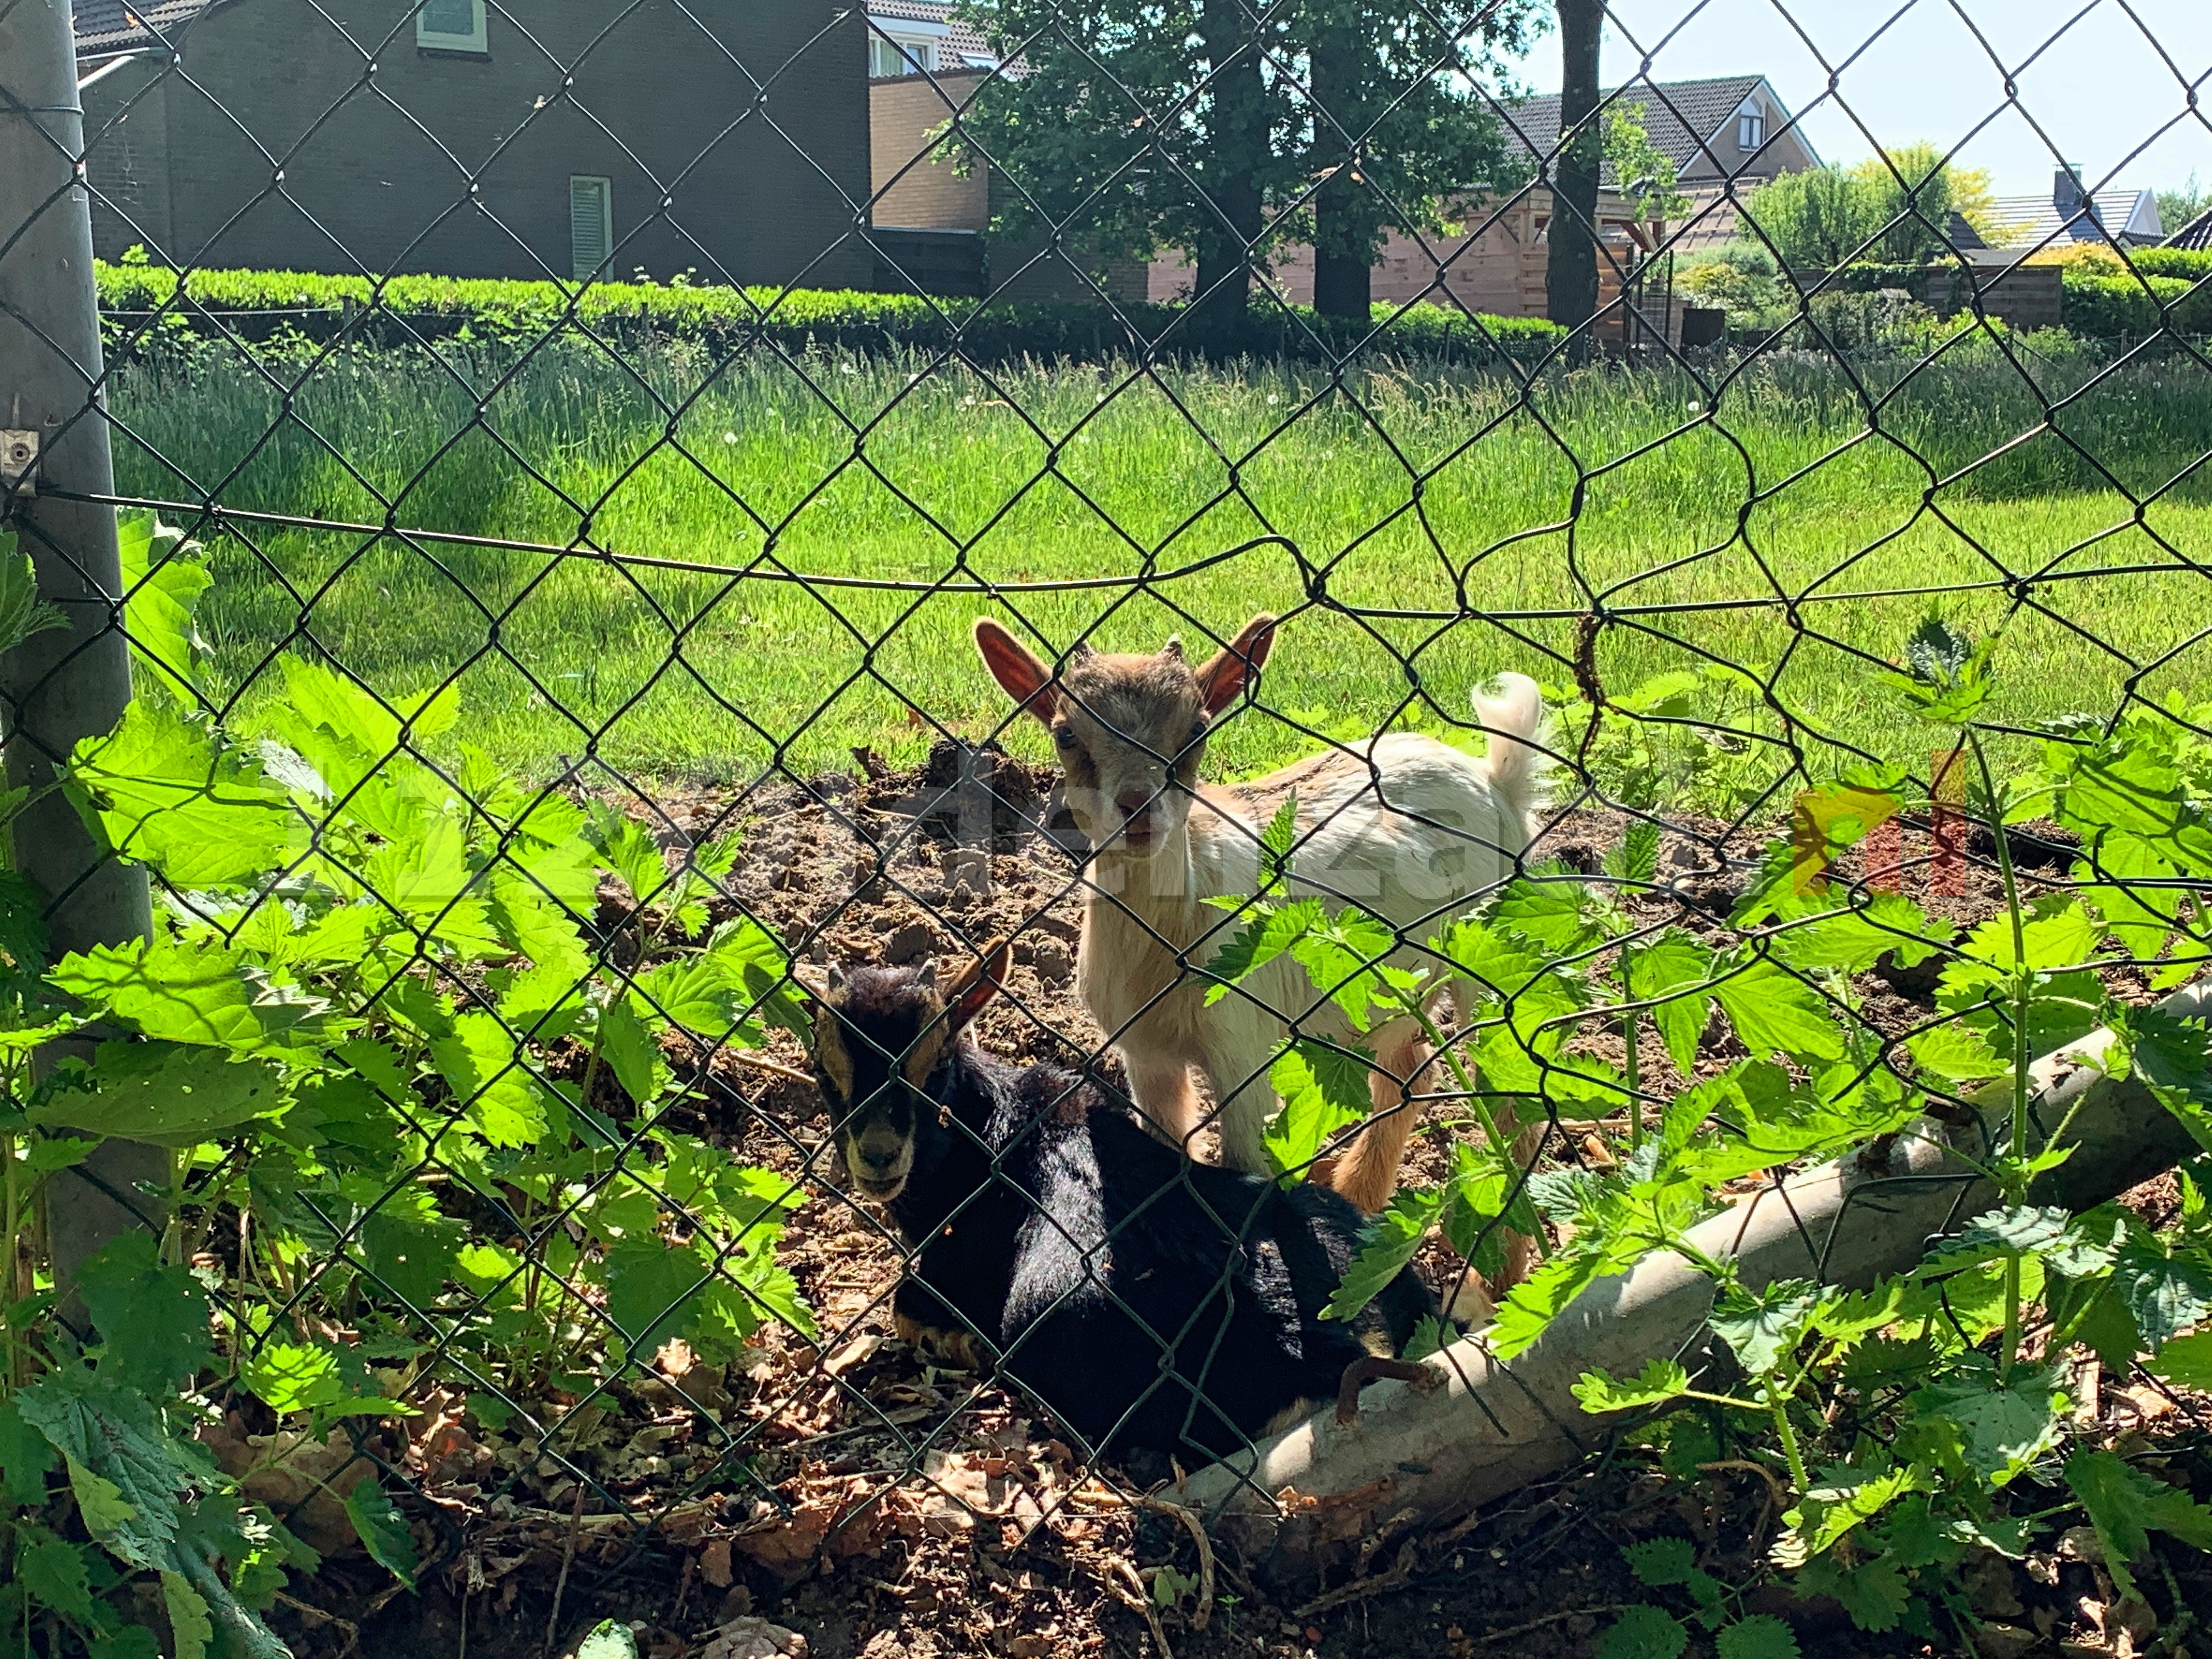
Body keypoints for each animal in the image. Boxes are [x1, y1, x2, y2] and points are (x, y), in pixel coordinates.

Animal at [978, 619, 1548, 1256]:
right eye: (1066, 735)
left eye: (1197, 730)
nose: (1138, 808)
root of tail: (1493, 778)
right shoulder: (1144, 1051)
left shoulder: (1242, 1046)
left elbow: (1247, 1166)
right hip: (1399, 983)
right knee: (1408, 1066)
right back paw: (1359, 1197)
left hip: (1489, 949)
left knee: (1510, 1100)